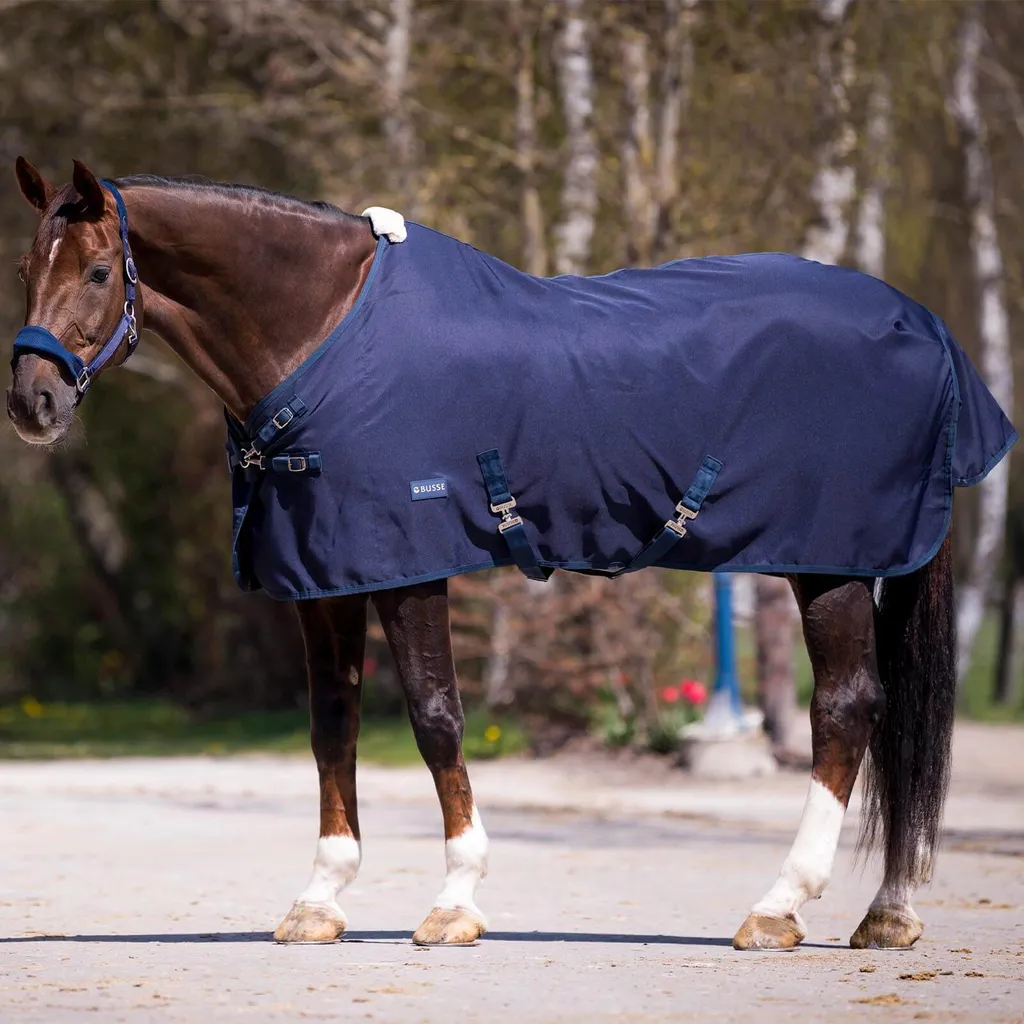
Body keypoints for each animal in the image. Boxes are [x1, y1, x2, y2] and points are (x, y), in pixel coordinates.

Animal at [6, 158, 1013, 951]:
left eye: (98, 269)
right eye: (25, 267)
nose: (32, 403)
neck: (324, 335)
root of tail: (924, 327)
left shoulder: (410, 569)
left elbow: (436, 720)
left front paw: (454, 901)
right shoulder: (326, 576)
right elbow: (332, 726)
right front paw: (321, 899)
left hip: (829, 564)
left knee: (845, 709)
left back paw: (779, 906)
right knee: (882, 716)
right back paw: (886, 912)